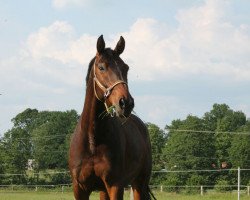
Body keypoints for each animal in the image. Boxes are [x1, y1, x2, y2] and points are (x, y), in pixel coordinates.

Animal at [69, 35, 154, 199]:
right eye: (101, 67)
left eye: (126, 68)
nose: (126, 103)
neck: (92, 140)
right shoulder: (79, 188)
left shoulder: (115, 185)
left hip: (139, 184)